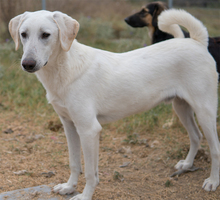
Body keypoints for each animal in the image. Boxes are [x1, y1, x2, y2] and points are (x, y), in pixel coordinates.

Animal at [9, 9, 220, 198]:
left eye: (46, 35)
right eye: (23, 34)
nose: (27, 64)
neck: (64, 69)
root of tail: (197, 42)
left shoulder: (89, 130)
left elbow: (91, 173)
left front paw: (84, 196)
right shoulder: (69, 126)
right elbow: (74, 163)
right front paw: (69, 187)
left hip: (204, 112)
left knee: (215, 147)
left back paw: (212, 181)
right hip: (181, 107)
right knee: (196, 136)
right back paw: (187, 165)